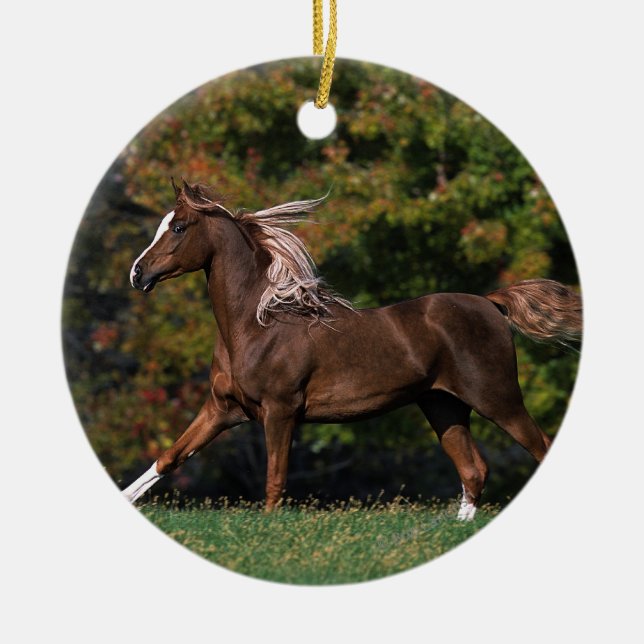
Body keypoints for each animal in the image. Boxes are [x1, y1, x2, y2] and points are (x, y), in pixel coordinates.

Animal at [122, 180, 582, 520]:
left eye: (179, 227)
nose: (137, 274)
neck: (257, 325)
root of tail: (490, 302)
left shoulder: (280, 411)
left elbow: (274, 480)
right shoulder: (223, 410)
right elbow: (169, 458)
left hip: (497, 399)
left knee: (536, 448)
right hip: (443, 406)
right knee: (473, 471)